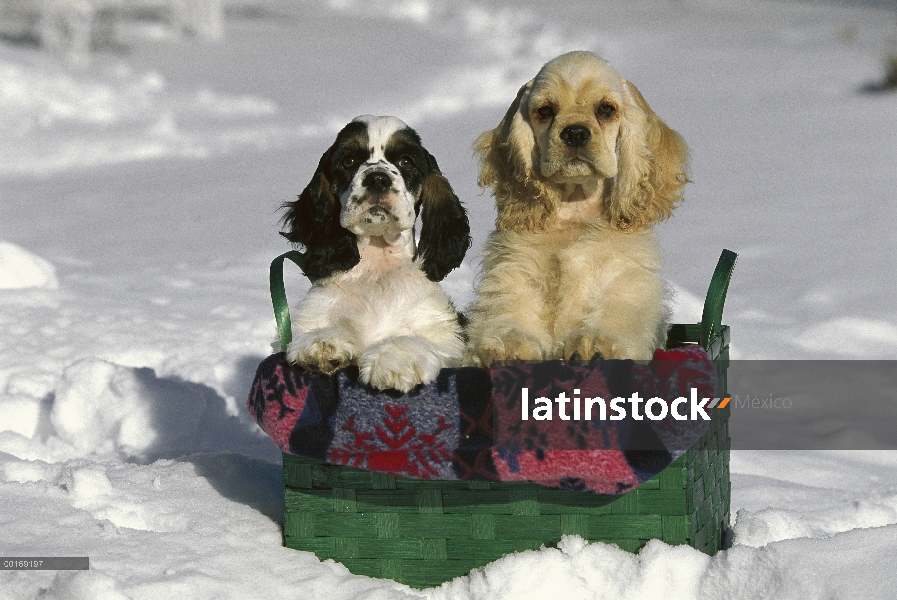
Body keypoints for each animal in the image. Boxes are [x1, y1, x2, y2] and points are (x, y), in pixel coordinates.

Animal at [282, 115, 472, 394]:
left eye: (406, 161)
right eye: (348, 161)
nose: (378, 179)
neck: (377, 265)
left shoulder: (446, 336)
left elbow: (415, 340)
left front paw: (393, 361)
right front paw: (321, 344)